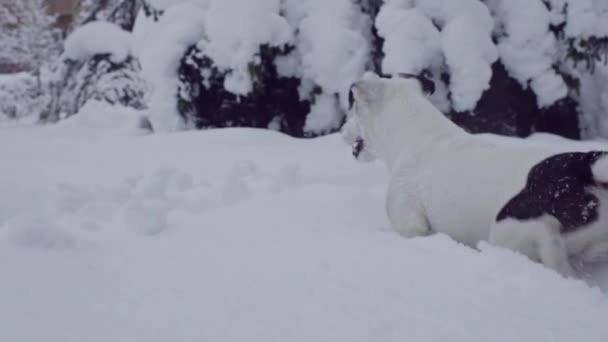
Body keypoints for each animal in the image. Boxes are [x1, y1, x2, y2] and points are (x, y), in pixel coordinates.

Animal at [344, 73, 608, 278]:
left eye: (354, 107)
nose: (343, 131)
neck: (416, 134)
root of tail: (582, 168)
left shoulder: (411, 225)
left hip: (513, 233)